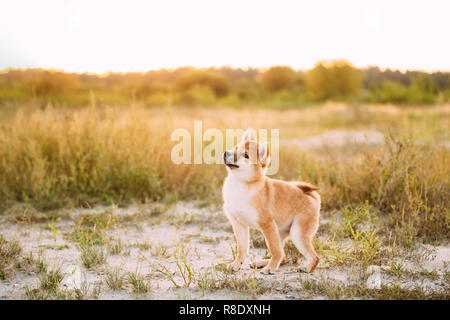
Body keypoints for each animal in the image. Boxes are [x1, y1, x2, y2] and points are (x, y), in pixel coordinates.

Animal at [221, 127, 320, 276]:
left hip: (296, 233)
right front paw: (236, 264)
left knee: (311, 256)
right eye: (236, 147)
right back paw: (262, 262)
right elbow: (242, 249)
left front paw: (271, 268)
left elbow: (274, 250)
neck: (241, 184)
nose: (226, 153)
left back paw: (306, 267)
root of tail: (310, 195)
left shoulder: (267, 224)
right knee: (283, 256)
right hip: (280, 232)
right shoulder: (239, 224)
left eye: (246, 155)